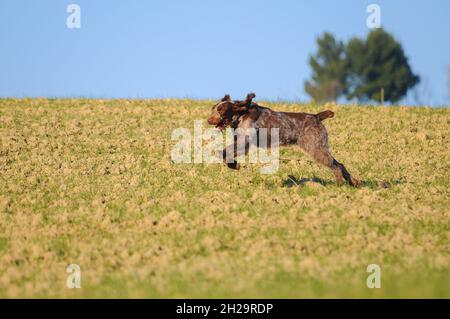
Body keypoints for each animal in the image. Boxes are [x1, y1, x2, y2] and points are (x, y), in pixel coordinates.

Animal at [207, 92, 358, 188]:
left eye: (220, 110)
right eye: (213, 109)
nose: (209, 120)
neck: (241, 115)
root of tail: (317, 116)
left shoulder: (243, 143)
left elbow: (222, 153)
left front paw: (234, 165)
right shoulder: (241, 143)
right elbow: (224, 154)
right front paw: (234, 165)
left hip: (314, 147)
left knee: (336, 166)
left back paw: (340, 184)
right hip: (319, 147)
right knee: (340, 164)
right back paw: (354, 182)